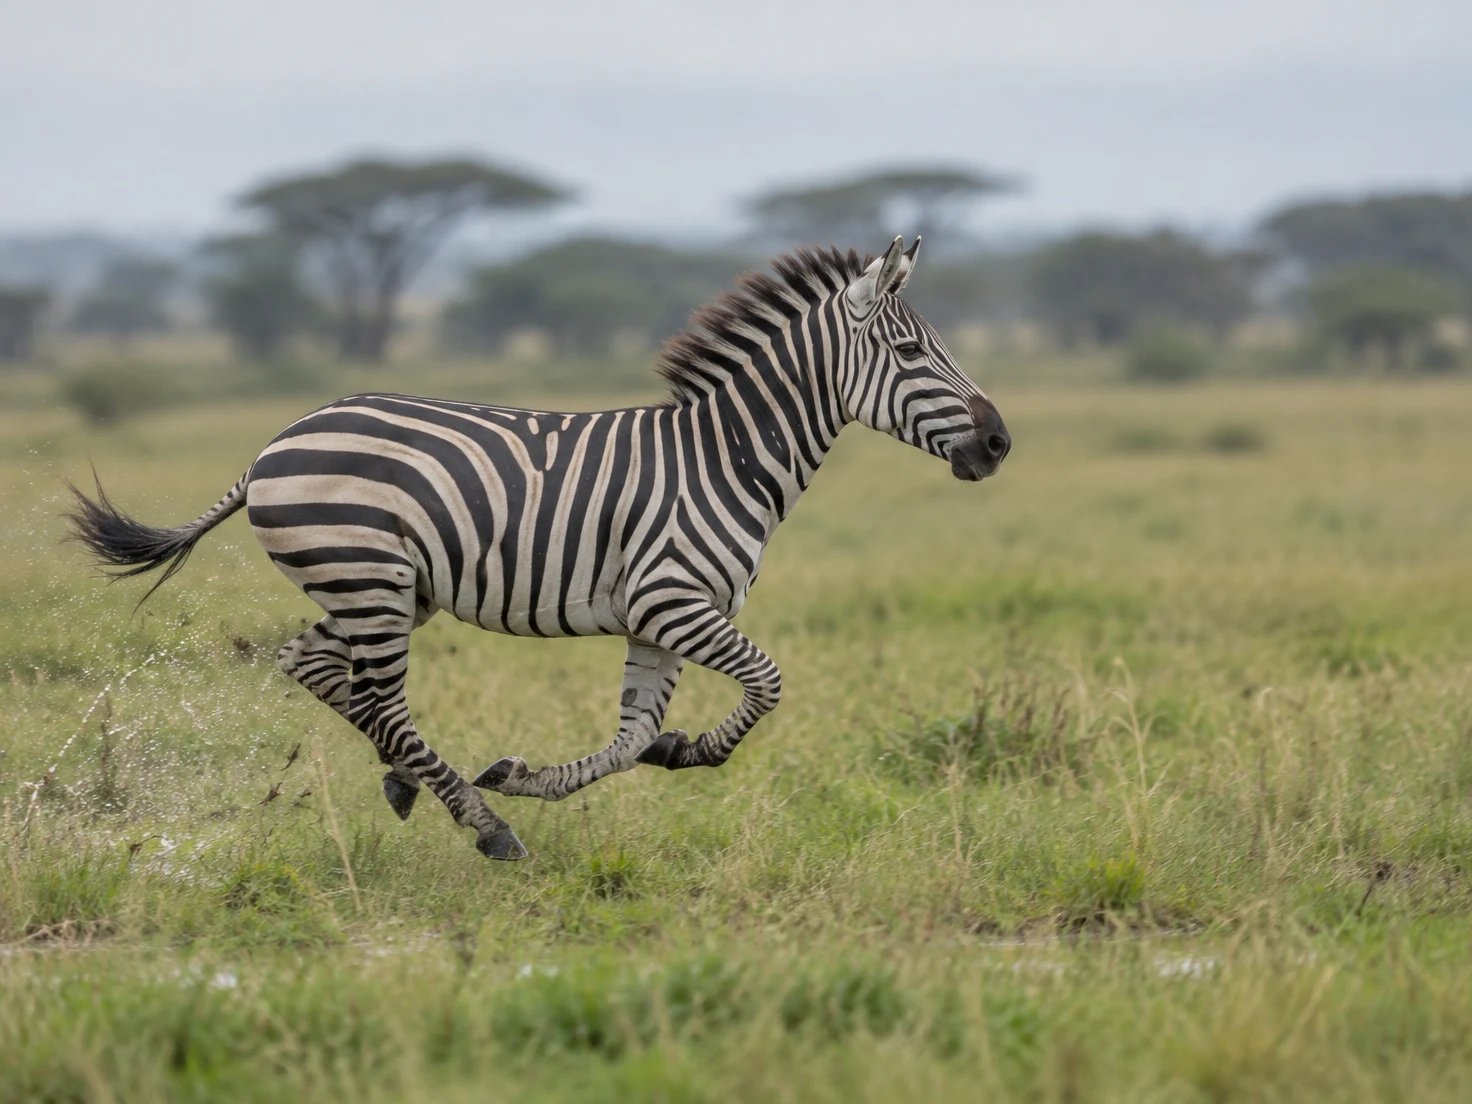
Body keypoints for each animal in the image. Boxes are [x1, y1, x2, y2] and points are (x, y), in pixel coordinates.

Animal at [66, 236, 1010, 861]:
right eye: (910, 350)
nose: (1000, 444)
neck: (726, 456)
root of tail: (275, 440)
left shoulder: (658, 619)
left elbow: (632, 738)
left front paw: (622, 759)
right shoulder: (675, 602)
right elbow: (770, 684)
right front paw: (680, 753)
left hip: (382, 589)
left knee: (318, 667)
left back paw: (411, 782)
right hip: (369, 579)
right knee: (379, 697)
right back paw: (481, 824)